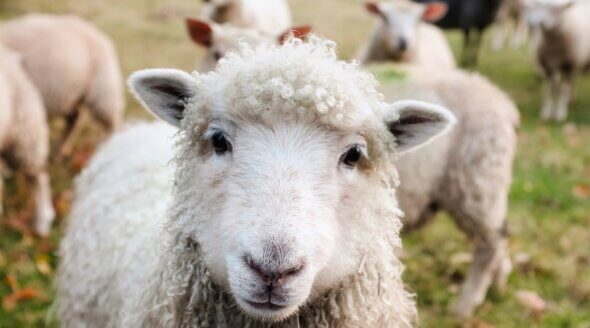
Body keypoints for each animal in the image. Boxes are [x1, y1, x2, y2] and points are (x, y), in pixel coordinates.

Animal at [0, 13, 125, 155]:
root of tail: (98, 33)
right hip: (72, 94)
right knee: (74, 119)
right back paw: (61, 150)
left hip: (103, 90)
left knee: (113, 121)